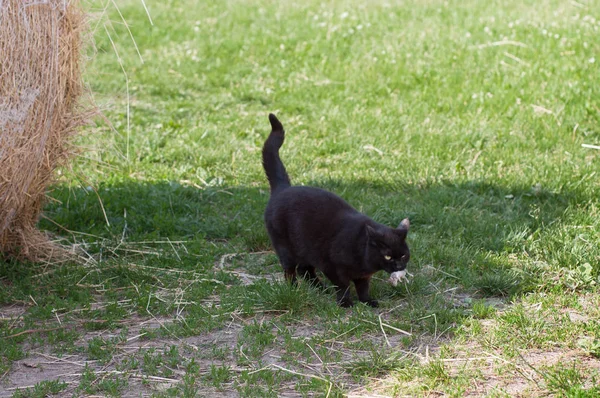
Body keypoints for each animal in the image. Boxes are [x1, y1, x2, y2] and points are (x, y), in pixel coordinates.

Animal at [260, 113, 410, 306]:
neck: (363, 253)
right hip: (286, 248)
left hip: (305, 249)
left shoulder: (363, 275)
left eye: (404, 255)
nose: (399, 266)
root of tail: (283, 188)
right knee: (291, 271)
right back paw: (294, 290)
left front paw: (367, 301)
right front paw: (345, 303)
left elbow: (363, 287)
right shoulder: (331, 267)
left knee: (305, 270)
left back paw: (321, 289)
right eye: (388, 256)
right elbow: (343, 286)